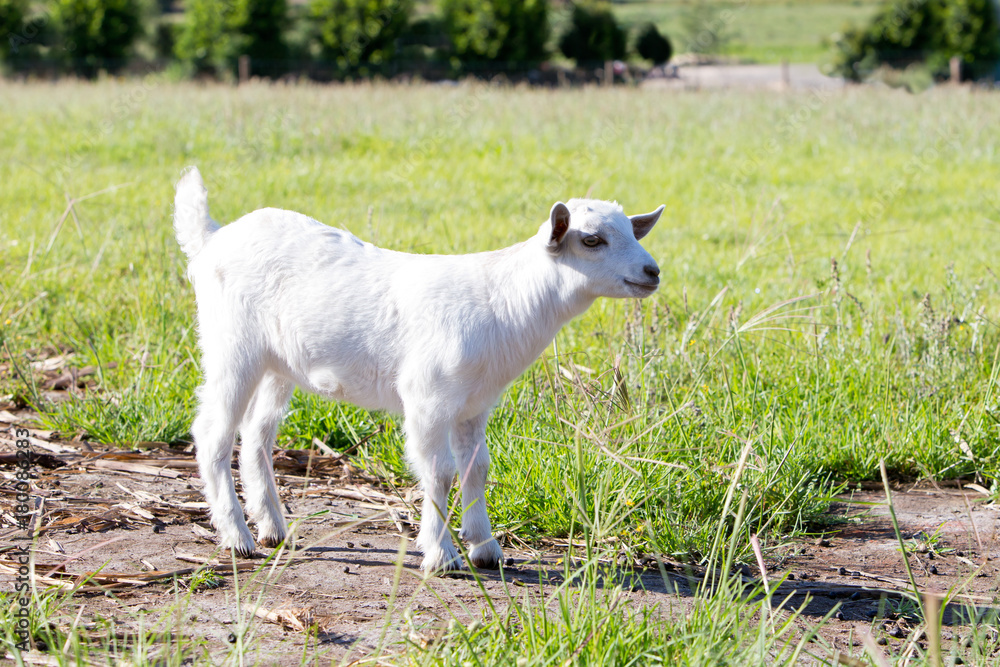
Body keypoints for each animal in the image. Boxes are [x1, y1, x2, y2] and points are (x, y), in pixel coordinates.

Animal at [173, 166, 663, 572]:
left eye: (632, 231)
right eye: (592, 240)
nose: (652, 271)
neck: (505, 300)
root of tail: (212, 238)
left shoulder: (474, 404)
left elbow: (477, 467)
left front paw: (485, 548)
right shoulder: (428, 398)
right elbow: (440, 471)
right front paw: (441, 553)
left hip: (278, 364)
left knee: (257, 434)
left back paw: (273, 528)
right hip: (231, 346)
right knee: (213, 433)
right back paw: (237, 537)